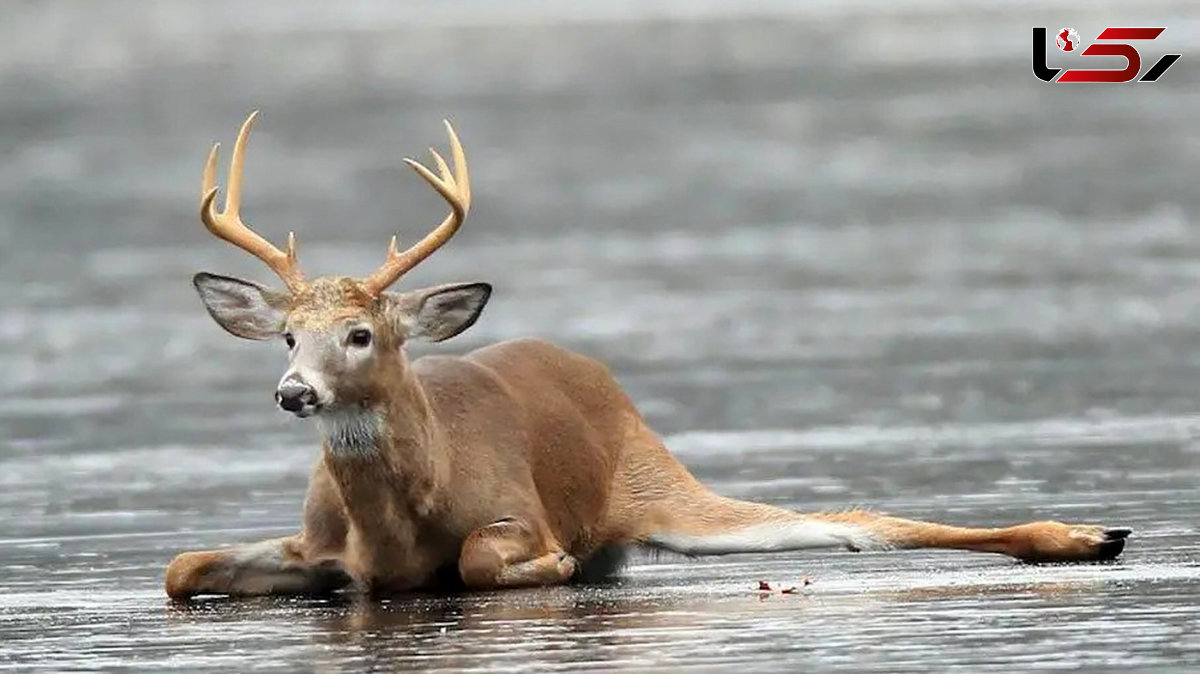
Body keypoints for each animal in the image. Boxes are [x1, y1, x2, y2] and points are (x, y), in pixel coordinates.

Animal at [164, 111, 1128, 597]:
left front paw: (552, 564)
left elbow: (481, 559)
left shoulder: (516, 509)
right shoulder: (316, 543)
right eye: (289, 335)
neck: (398, 517)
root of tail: (596, 375)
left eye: (361, 334)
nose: (293, 391)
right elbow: (179, 569)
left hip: (656, 482)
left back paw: (1090, 534)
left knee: (860, 524)